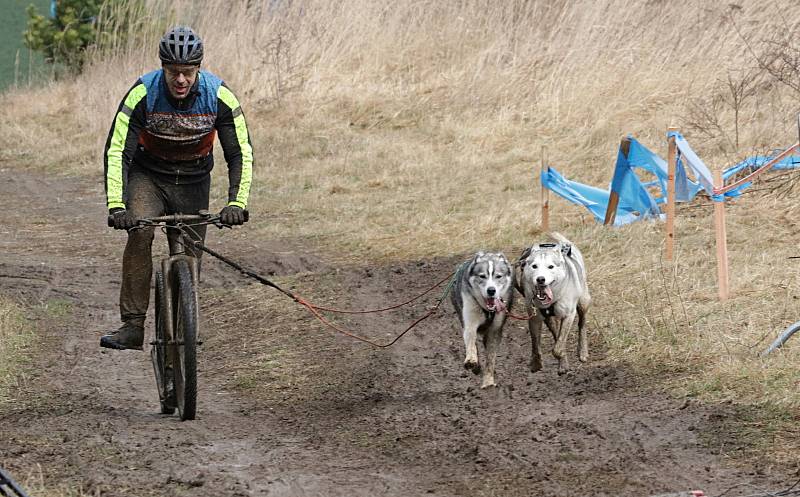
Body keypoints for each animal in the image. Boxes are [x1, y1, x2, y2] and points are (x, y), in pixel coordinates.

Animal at [454, 252, 516, 388]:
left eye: (498, 276)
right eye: (482, 276)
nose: (491, 290)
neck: (487, 310)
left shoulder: (495, 329)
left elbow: (490, 358)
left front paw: (488, 382)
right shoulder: (470, 321)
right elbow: (471, 341)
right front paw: (471, 360)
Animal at [516, 232, 592, 372]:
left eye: (551, 266)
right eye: (534, 266)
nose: (540, 279)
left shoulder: (569, 315)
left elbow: (558, 347)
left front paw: (560, 355)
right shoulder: (534, 317)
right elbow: (535, 343)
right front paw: (536, 363)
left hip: (584, 300)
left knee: (582, 323)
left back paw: (582, 351)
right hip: (549, 319)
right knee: (555, 332)